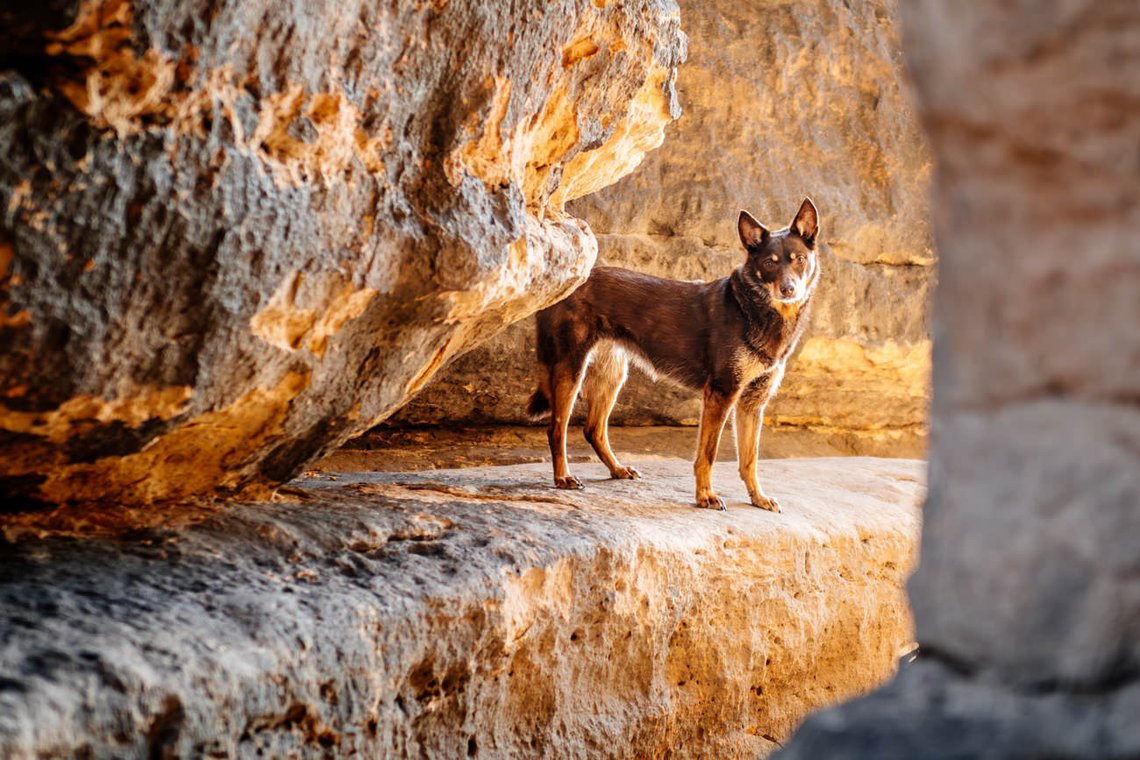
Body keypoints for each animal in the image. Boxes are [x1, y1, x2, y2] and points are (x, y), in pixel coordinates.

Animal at [524, 199, 820, 515]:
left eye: (800, 259)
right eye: (769, 263)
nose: (788, 289)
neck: (753, 311)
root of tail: (564, 285)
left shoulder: (753, 402)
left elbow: (749, 459)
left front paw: (758, 498)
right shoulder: (720, 394)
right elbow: (708, 454)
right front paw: (705, 496)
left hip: (611, 374)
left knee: (593, 429)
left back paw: (617, 469)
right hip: (570, 368)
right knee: (557, 428)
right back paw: (563, 477)